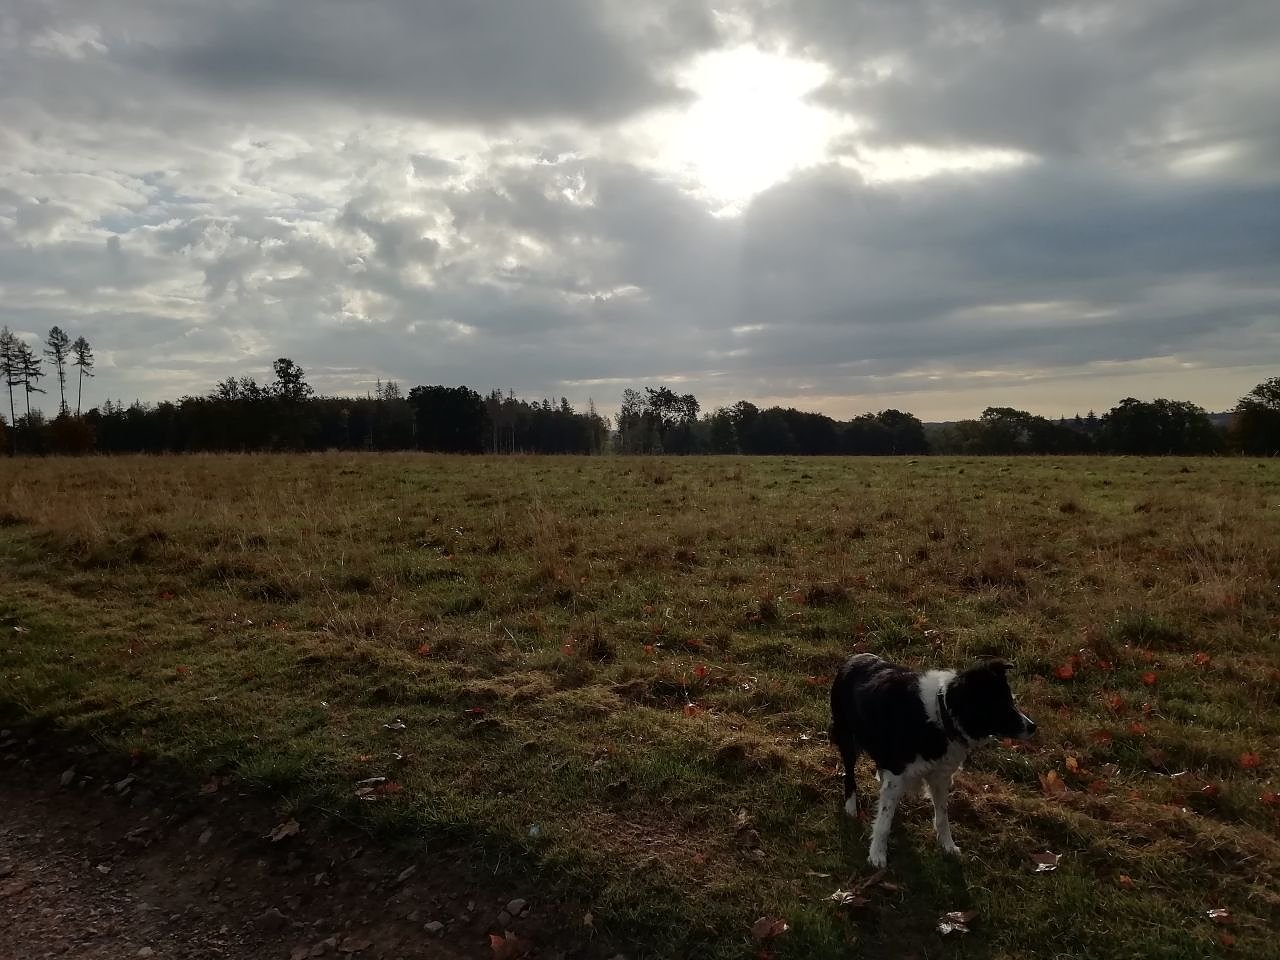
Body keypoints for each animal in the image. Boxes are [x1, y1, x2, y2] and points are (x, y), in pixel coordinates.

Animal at [830, 653, 1035, 867]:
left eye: (1011, 701)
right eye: (999, 705)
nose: (1033, 727)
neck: (942, 716)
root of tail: (856, 657)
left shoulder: (940, 777)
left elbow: (942, 817)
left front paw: (948, 846)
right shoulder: (897, 773)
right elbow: (884, 822)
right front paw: (877, 854)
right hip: (847, 738)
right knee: (849, 776)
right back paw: (851, 808)